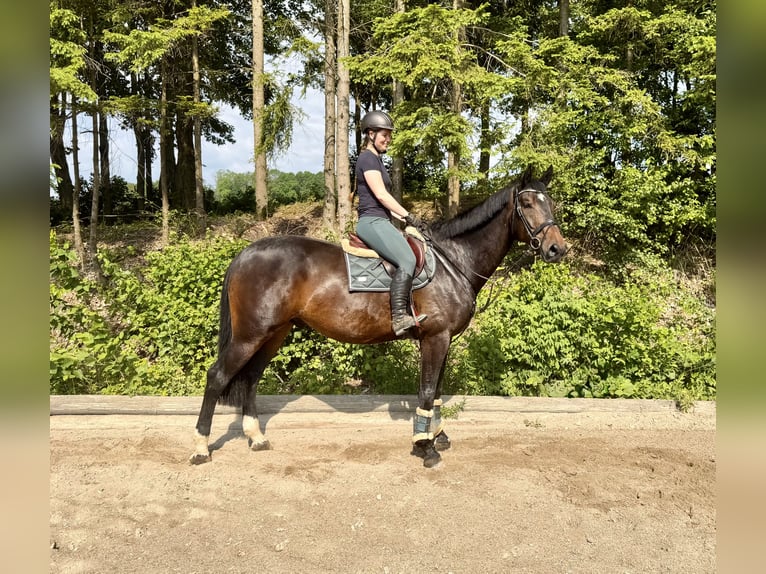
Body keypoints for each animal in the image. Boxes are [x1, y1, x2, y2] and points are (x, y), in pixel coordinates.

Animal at [190, 165, 567, 468]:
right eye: (528, 204)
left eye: (550, 203)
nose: (557, 249)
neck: (453, 259)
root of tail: (245, 253)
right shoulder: (435, 338)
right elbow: (426, 390)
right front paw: (425, 446)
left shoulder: (443, 339)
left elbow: (437, 390)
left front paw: (437, 436)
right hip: (250, 334)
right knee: (217, 376)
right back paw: (201, 447)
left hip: (274, 333)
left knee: (251, 378)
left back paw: (255, 437)